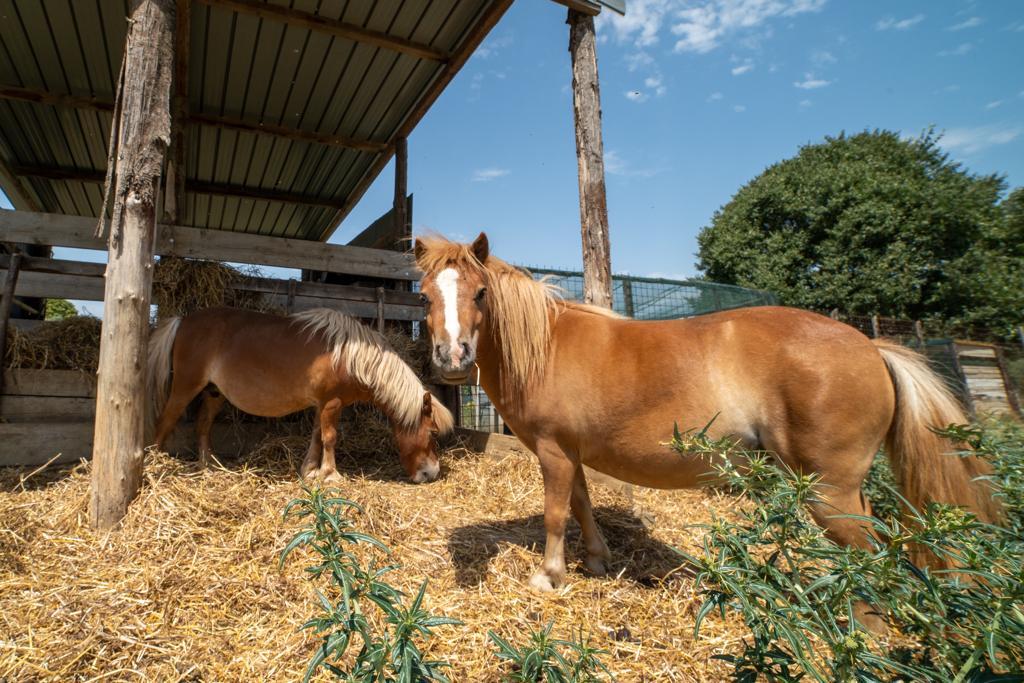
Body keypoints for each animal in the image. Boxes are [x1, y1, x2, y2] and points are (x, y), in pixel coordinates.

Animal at [144, 307, 452, 483]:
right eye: (433, 433)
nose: (432, 474)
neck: (350, 356)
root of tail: (183, 320)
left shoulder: (322, 405)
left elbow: (317, 436)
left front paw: (310, 470)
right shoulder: (332, 403)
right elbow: (330, 438)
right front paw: (331, 475)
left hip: (213, 394)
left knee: (203, 425)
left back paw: (209, 465)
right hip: (185, 387)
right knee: (165, 421)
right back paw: (154, 463)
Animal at [413, 232, 999, 593]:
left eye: (481, 293)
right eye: (423, 297)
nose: (451, 358)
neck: (546, 345)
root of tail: (872, 346)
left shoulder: (555, 453)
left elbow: (557, 514)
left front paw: (549, 577)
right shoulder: (572, 455)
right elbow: (582, 507)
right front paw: (598, 560)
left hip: (830, 492)